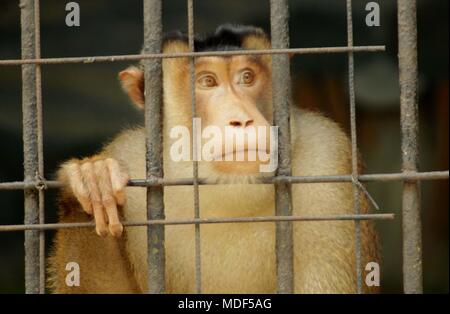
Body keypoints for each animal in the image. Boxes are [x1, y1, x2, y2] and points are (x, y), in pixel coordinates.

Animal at [47, 24, 380, 294]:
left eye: (247, 77)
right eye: (207, 81)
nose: (241, 119)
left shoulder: (328, 162)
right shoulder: (127, 159)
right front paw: (92, 182)